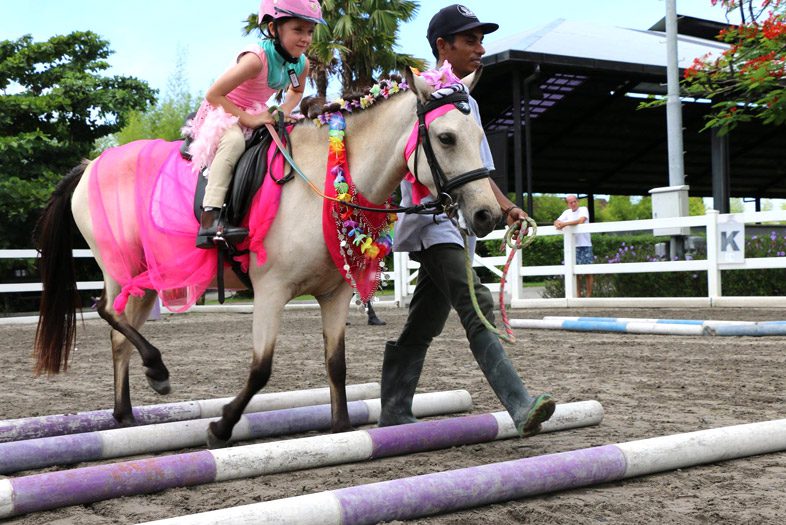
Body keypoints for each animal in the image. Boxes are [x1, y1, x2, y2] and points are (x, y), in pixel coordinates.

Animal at [32, 67, 496, 448]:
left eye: (478, 137)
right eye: (446, 137)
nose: (486, 215)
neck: (323, 180)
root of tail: (92, 164)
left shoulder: (335, 296)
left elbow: (336, 365)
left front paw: (342, 429)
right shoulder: (271, 292)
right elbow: (261, 369)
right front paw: (220, 427)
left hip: (148, 280)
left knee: (119, 334)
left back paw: (126, 414)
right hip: (123, 269)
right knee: (107, 311)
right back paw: (157, 371)